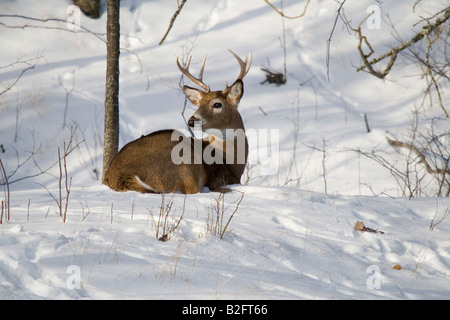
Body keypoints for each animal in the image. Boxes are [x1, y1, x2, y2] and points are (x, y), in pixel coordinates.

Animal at [103, 49, 253, 195]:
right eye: (199, 104)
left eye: (217, 104)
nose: (192, 120)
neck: (230, 162)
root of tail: (121, 176)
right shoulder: (220, 178)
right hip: (184, 160)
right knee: (193, 190)